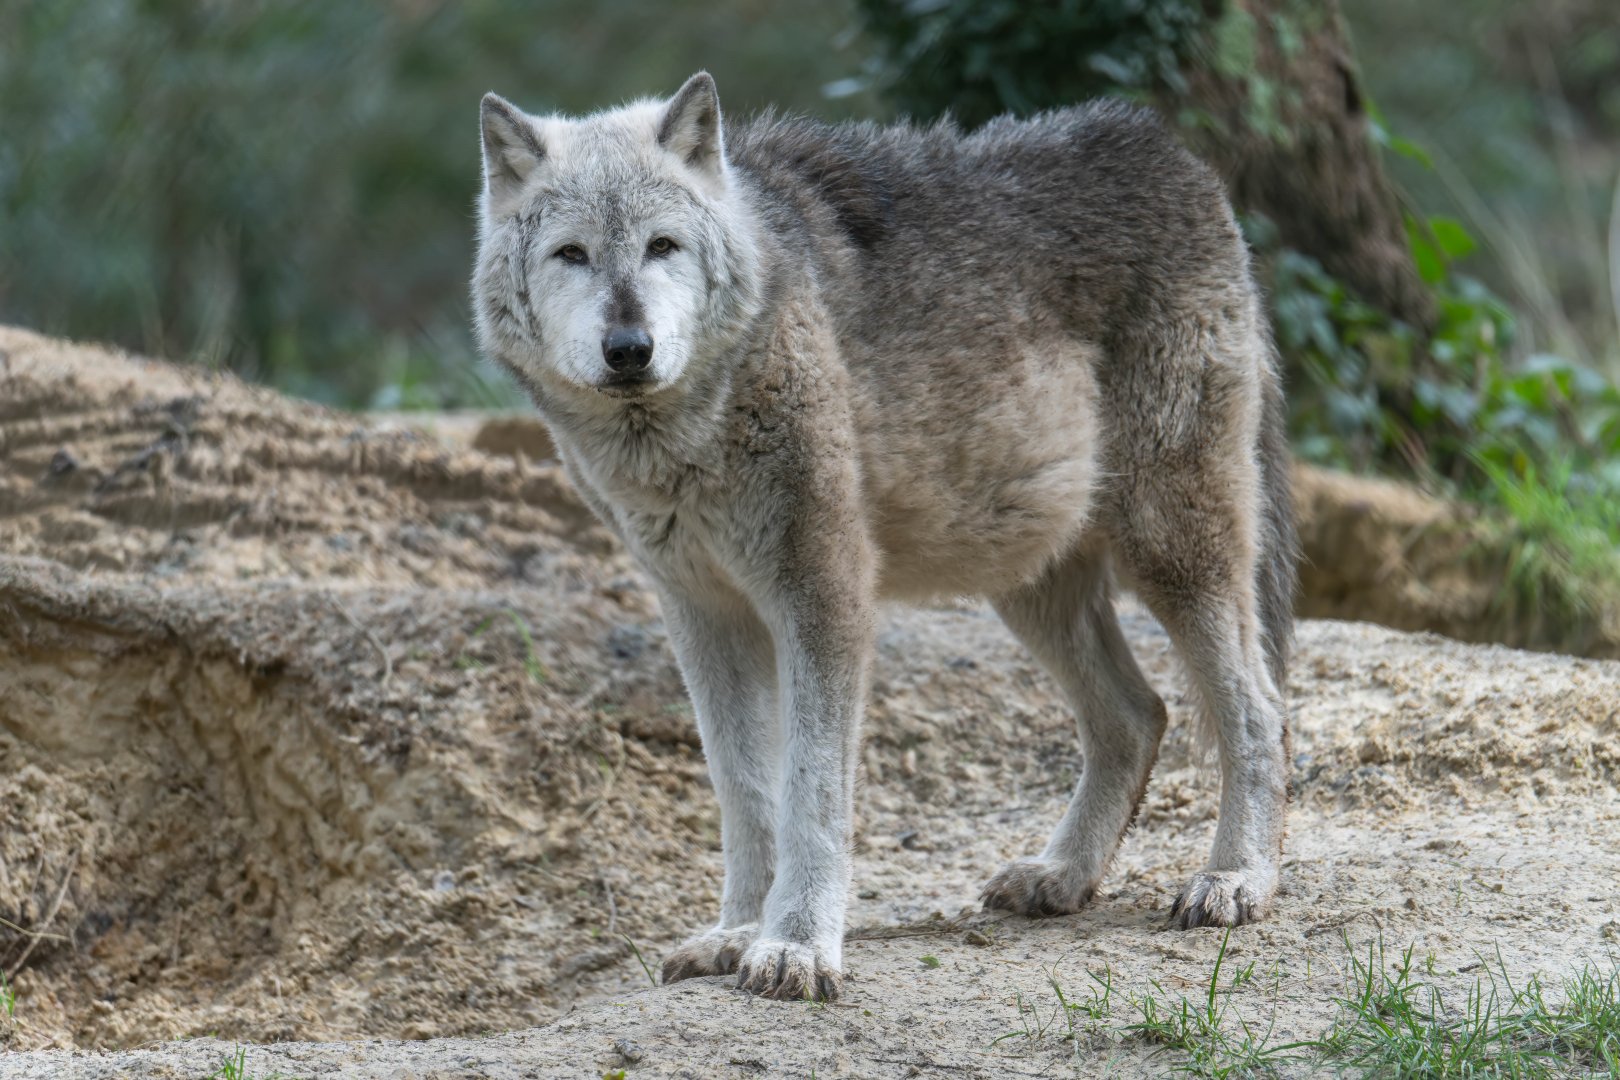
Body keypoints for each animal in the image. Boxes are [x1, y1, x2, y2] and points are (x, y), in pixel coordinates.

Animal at [472, 73, 1297, 1002]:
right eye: (571, 255)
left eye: (662, 247)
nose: (628, 347)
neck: (682, 444)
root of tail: (1174, 155)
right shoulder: (700, 613)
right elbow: (743, 792)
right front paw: (734, 934)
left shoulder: (823, 590)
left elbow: (811, 793)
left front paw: (795, 947)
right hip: (1026, 578)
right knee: (1138, 715)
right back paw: (1062, 876)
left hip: (1170, 549)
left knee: (1259, 709)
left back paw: (1236, 880)